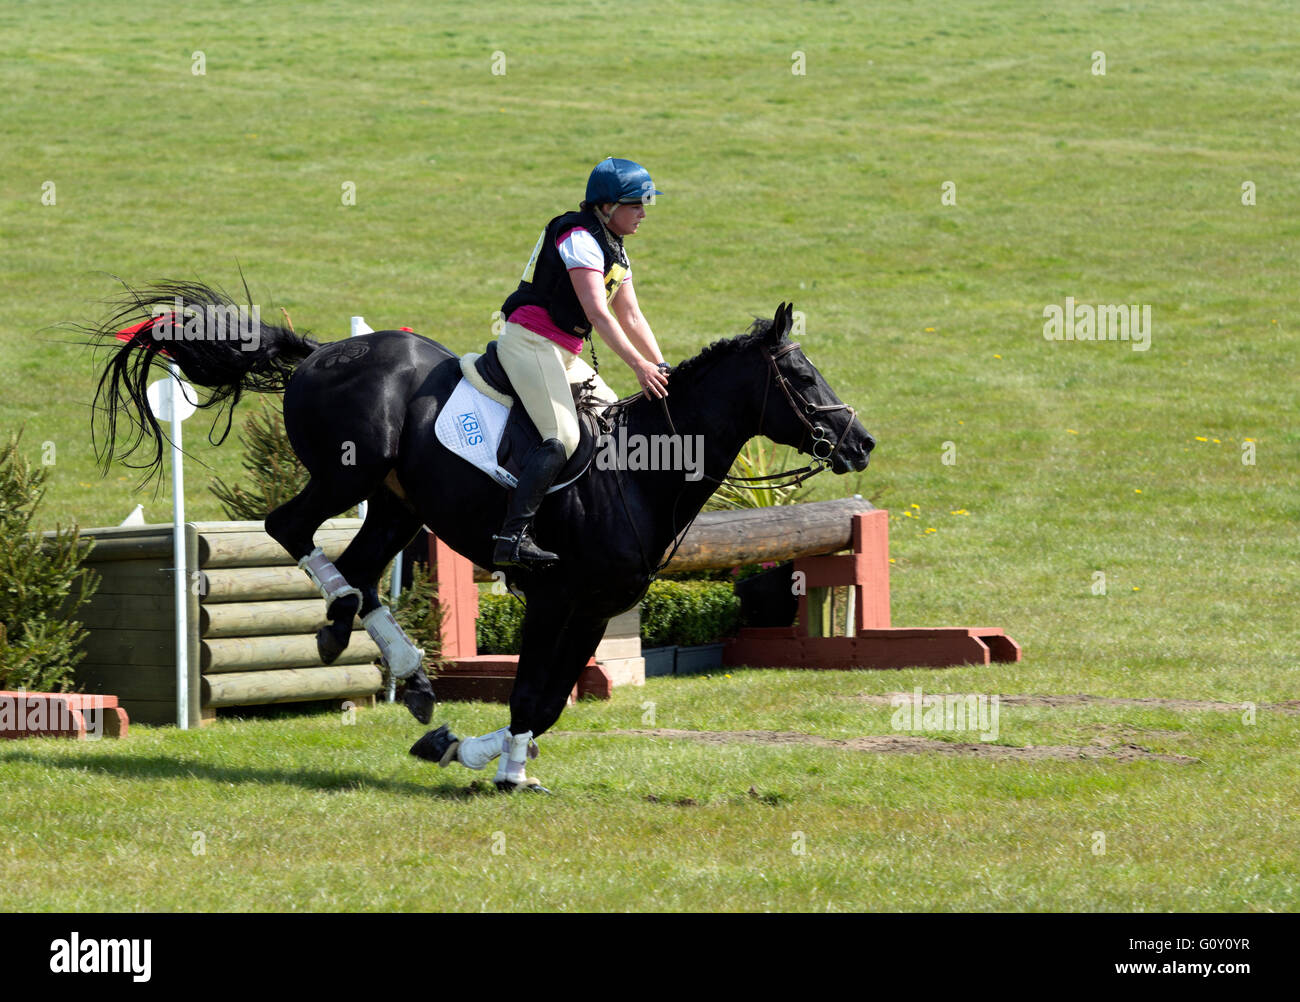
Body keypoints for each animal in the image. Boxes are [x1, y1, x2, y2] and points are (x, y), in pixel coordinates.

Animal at [91, 280, 873, 790]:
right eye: (800, 375)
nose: (862, 443)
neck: (638, 468)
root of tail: (323, 351)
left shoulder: (596, 608)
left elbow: (550, 704)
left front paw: (470, 751)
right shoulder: (554, 598)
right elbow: (529, 696)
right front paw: (489, 766)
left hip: (396, 505)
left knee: (362, 568)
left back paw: (400, 669)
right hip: (350, 472)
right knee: (292, 529)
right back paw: (349, 625)